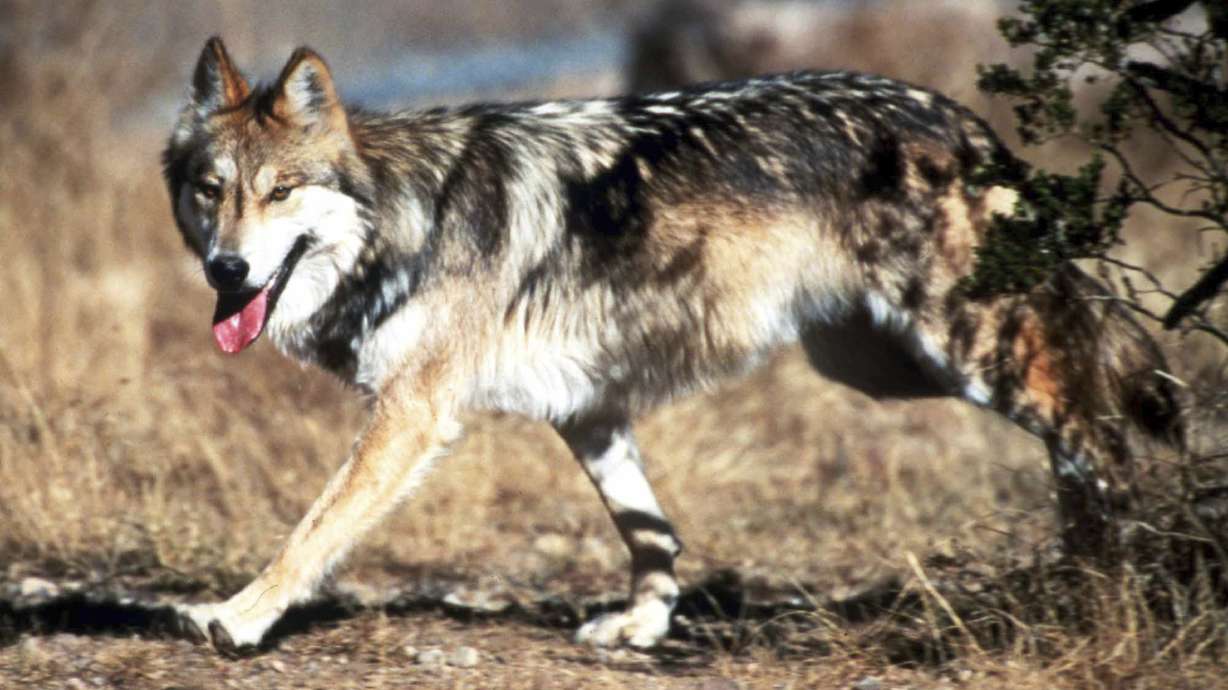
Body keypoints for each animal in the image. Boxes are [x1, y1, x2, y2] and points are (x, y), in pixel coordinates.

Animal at [162, 37, 1184, 655]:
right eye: (213, 190)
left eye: (281, 191)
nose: (225, 269)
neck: (405, 217)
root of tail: (960, 117)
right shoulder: (587, 410)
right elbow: (649, 530)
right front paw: (643, 626)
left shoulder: (412, 415)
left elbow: (311, 530)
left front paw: (236, 617)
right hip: (879, 366)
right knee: (1078, 411)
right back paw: (1094, 570)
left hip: (960, 348)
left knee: (1095, 423)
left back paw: (1121, 575)